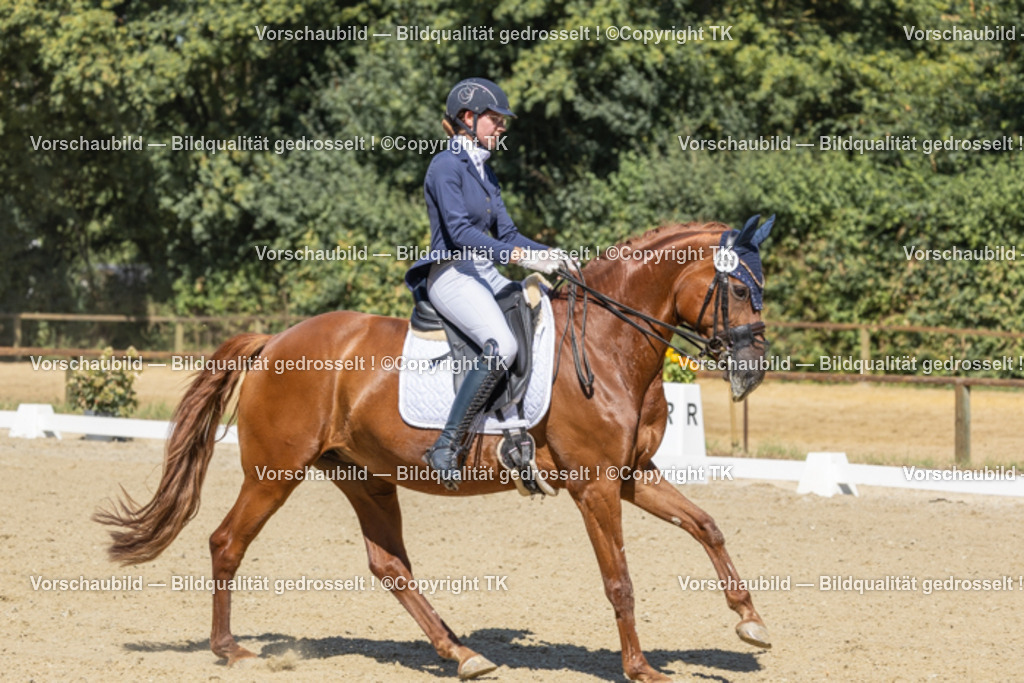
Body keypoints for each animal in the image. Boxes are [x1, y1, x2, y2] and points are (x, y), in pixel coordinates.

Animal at [95, 220, 774, 682]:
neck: (607, 344)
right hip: (275, 472)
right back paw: (230, 649)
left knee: (389, 565)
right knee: (227, 542)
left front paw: (751, 622)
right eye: (740, 290)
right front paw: (640, 668)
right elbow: (619, 580)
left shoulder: (632, 475)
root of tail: (275, 339)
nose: (754, 369)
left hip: (364, 477)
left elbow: (706, 525)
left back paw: (462, 653)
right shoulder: (596, 484)